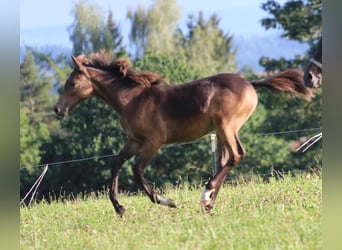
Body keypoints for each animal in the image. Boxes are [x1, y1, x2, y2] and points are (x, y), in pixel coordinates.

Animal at [54, 53, 312, 215]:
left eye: (72, 83)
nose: (58, 109)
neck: (133, 99)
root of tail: (250, 84)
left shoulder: (153, 142)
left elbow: (137, 170)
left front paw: (165, 201)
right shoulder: (134, 142)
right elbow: (115, 165)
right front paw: (119, 207)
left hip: (226, 126)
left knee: (237, 155)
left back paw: (206, 195)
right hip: (220, 131)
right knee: (227, 160)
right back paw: (208, 203)